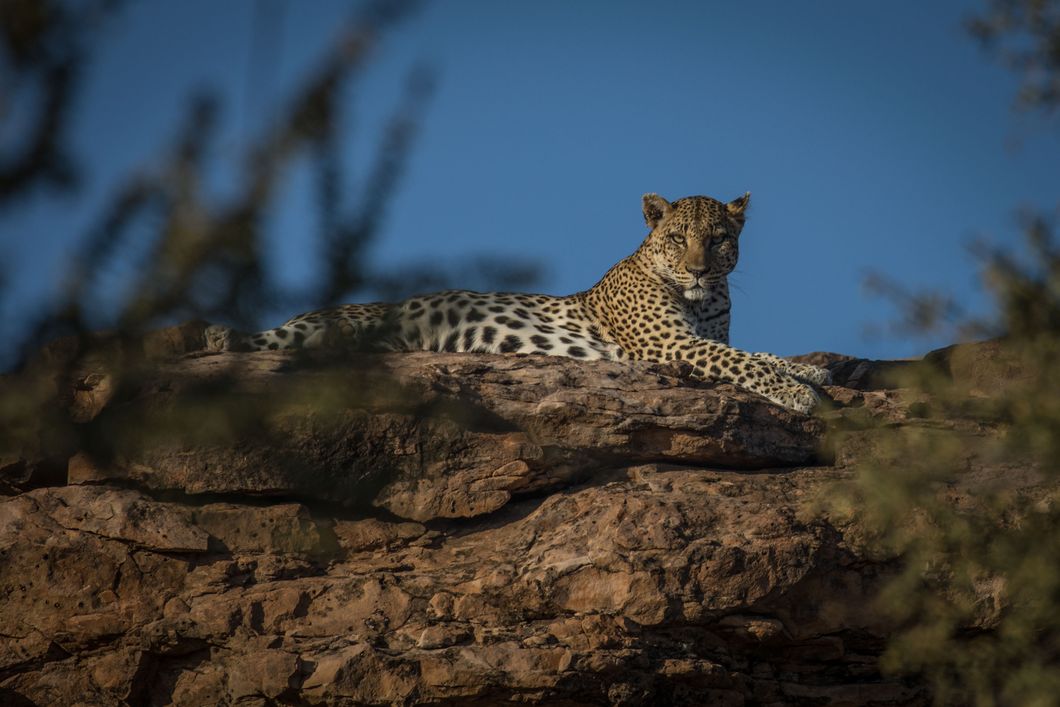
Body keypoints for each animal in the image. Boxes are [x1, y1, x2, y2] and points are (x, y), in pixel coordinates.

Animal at [205, 192, 830, 413]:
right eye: (678, 238)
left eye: (720, 239)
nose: (700, 268)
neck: (704, 299)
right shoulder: (671, 344)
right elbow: (742, 362)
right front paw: (798, 395)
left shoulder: (701, 337)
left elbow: (757, 354)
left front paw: (812, 371)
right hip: (320, 327)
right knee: (250, 341)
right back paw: (217, 334)